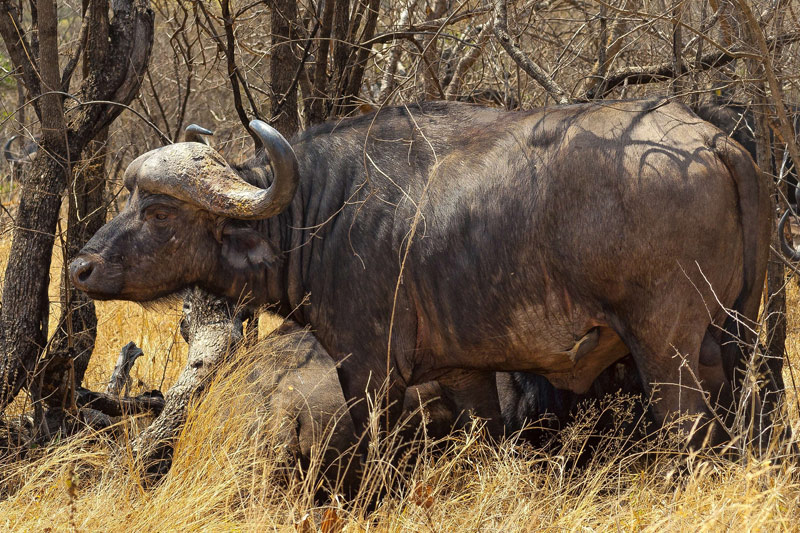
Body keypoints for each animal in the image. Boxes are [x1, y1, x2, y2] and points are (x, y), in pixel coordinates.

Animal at [72, 100, 772, 448]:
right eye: (128, 197)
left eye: (159, 211)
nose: (81, 266)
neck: (324, 212)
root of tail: (713, 142)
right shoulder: (465, 372)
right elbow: (484, 443)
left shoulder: (369, 369)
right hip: (745, 341)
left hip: (664, 351)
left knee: (687, 433)